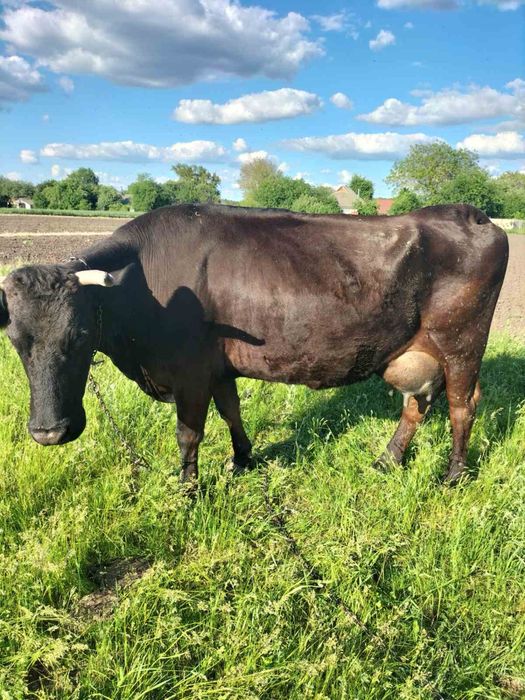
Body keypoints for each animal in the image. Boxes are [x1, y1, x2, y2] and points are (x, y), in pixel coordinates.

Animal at [0, 203, 508, 484]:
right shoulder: (217, 366)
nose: (49, 432)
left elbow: (189, 432)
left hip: (461, 344)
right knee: (417, 404)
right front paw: (243, 459)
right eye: (16, 341)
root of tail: (471, 214)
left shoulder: (189, 371)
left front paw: (188, 488)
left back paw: (453, 476)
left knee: (462, 406)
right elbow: (232, 411)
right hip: (416, 351)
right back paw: (387, 461)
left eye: (80, 335)